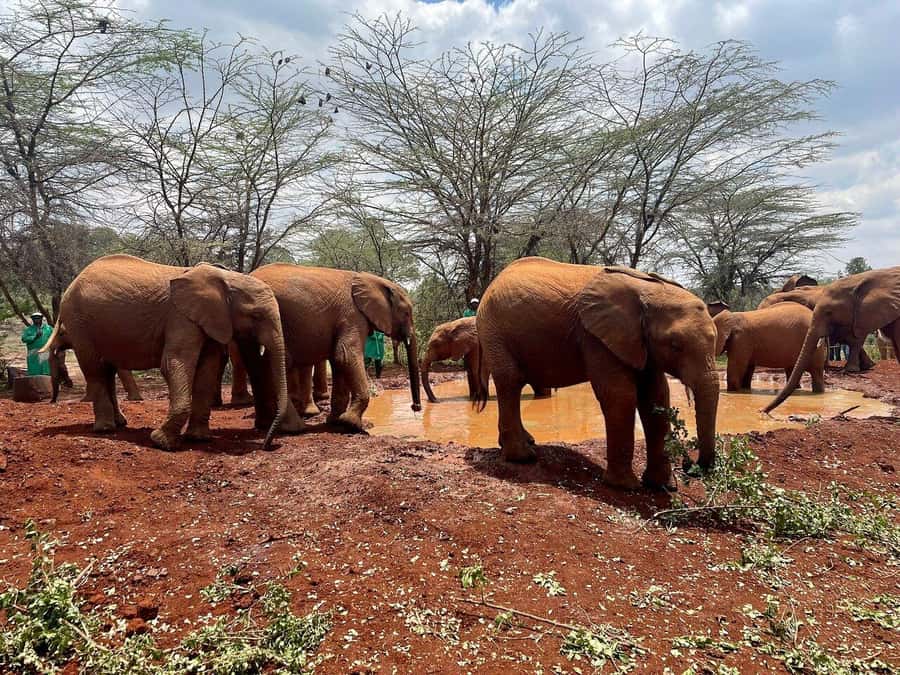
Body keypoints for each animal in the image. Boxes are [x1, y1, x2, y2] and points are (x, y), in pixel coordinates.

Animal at [44, 254, 301, 450]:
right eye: (256, 316)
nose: (268, 444)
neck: (227, 278)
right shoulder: (181, 317)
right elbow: (175, 363)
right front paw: (161, 442)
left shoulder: (210, 320)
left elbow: (208, 368)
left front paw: (199, 438)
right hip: (79, 322)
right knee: (94, 369)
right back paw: (105, 429)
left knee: (106, 369)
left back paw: (119, 424)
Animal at [245, 264, 422, 433]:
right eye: (407, 313)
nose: (415, 408)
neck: (373, 280)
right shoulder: (352, 315)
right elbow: (345, 355)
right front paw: (351, 425)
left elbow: (339, 360)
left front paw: (336, 422)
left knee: (256, 367)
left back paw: (264, 425)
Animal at [475, 258, 719, 491]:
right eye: (676, 345)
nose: (689, 465)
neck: (648, 288)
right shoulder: (595, 336)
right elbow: (620, 395)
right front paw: (625, 487)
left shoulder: (641, 344)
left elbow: (656, 396)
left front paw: (661, 486)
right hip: (493, 331)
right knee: (510, 381)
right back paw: (523, 457)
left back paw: (527, 442)